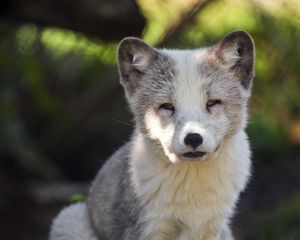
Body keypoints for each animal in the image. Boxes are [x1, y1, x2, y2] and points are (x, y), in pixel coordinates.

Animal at [49, 30, 255, 240]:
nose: (193, 139)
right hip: (68, 217)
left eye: (212, 103)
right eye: (167, 106)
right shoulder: (145, 228)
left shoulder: (209, 229)